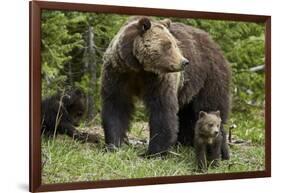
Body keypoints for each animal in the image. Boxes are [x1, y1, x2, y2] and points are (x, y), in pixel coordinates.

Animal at [100, 16, 230, 158]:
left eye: (175, 44)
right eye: (168, 45)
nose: (184, 62)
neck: (139, 67)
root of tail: (214, 43)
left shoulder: (158, 80)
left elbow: (162, 110)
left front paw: (153, 152)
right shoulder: (118, 73)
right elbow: (116, 105)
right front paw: (113, 145)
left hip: (209, 78)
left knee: (210, 107)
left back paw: (221, 152)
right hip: (189, 88)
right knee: (187, 114)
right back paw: (184, 142)